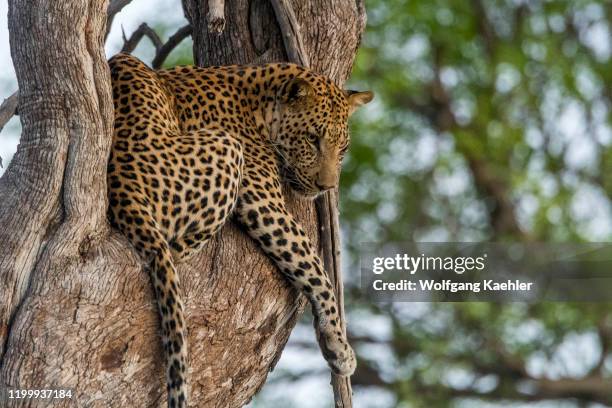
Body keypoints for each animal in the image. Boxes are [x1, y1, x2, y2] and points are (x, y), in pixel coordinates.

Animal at [106, 52, 372, 406]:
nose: (326, 186)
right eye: (312, 140)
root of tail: (123, 186)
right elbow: (317, 271)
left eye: (342, 149)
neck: (258, 98)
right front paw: (340, 348)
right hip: (226, 147)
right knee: (176, 248)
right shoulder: (265, 203)